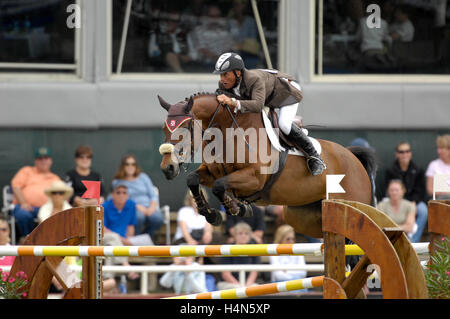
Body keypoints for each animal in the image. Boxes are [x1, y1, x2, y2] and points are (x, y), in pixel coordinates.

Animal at [158, 92, 376, 238]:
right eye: (164, 129)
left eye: (184, 129)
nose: (167, 168)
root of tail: (354, 158)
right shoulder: (213, 173)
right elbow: (193, 179)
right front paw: (212, 214)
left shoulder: (253, 179)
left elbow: (220, 186)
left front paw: (237, 208)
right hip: (301, 216)